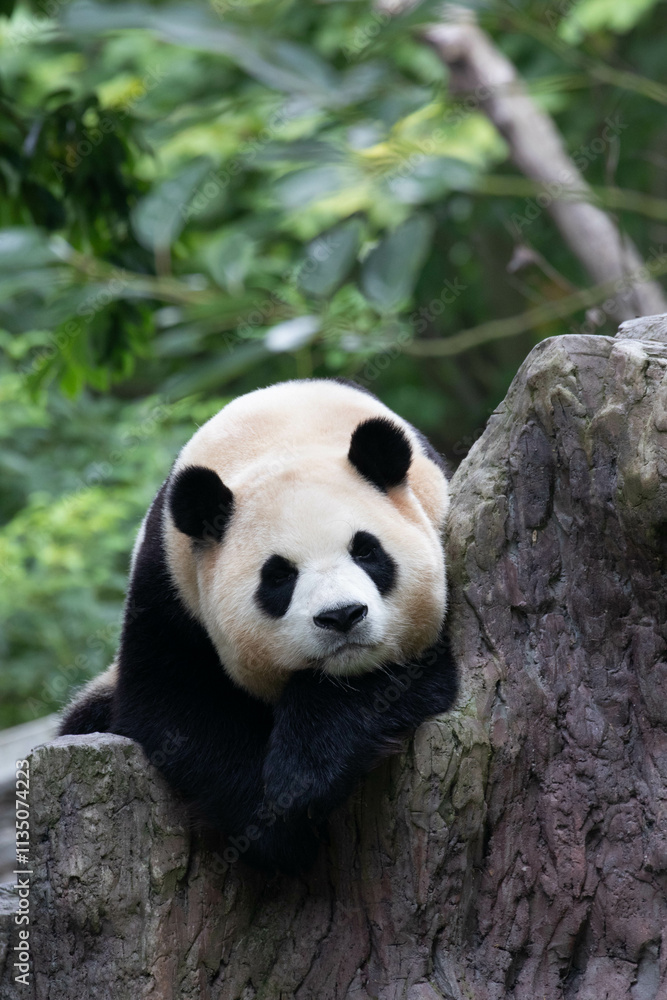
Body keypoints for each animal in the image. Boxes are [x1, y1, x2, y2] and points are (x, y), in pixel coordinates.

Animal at [59, 378, 458, 874]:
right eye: (279, 576)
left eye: (366, 551)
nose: (342, 616)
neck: (282, 434)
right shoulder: (170, 592)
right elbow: (178, 708)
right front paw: (276, 826)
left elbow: (394, 680)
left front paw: (304, 773)